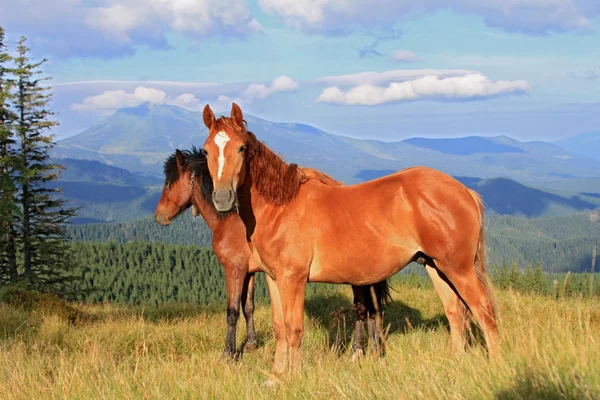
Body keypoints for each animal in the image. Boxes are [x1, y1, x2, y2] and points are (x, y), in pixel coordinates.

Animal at [199, 103, 500, 376]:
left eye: (241, 148)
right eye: (206, 151)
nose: (222, 198)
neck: (281, 206)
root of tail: (464, 191)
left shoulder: (293, 279)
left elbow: (294, 328)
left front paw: (292, 378)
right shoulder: (274, 279)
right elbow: (280, 329)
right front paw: (276, 376)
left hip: (458, 268)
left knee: (483, 311)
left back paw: (494, 363)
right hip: (435, 266)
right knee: (455, 312)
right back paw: (456, 362)